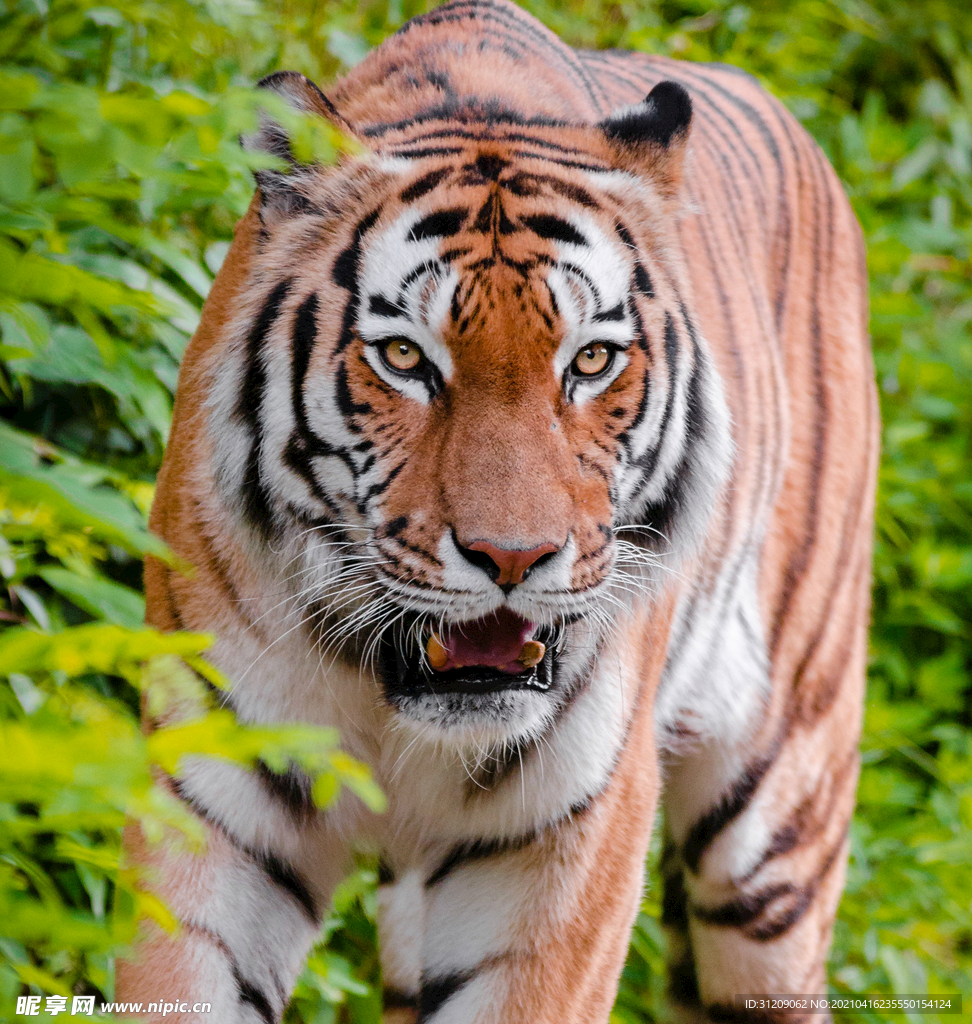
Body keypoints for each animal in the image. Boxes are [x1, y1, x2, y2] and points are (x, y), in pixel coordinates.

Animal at [118, 1, 879, 1022]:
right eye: (404, 358)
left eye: (591, 361)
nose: (513, 559)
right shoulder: (216, 797)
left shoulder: (566, 841)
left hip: (779, 825)